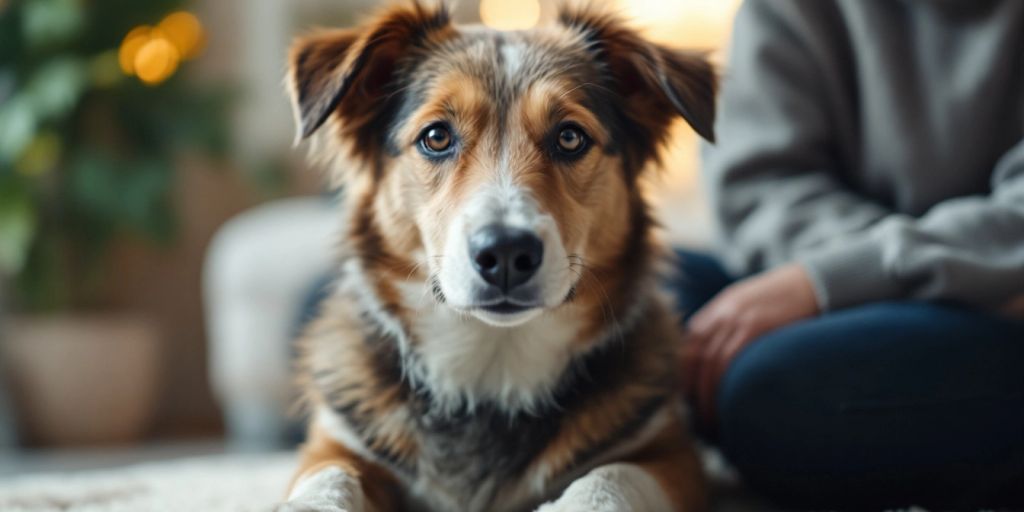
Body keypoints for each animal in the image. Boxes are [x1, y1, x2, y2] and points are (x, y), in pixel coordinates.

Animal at [278, 2, 712, 509]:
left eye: (570, 137)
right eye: (436, 137)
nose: (506, 253)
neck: (492, 366)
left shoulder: (670, 453)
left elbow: (608, 479)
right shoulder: (335, 444)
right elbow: (329, 478)